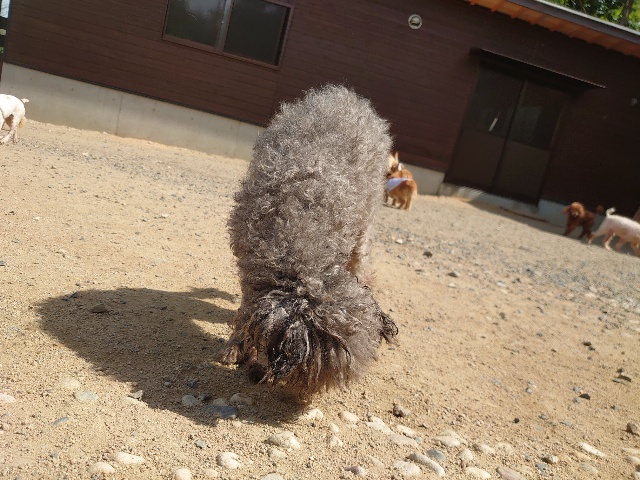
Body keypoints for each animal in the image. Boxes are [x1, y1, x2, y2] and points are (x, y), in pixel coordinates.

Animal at [223, 85, 398, 401]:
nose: (308, 398)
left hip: (366, 217)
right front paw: (236, 345)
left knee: (362, 258)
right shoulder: (248, 262)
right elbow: (246, 309)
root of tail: (347, 95)